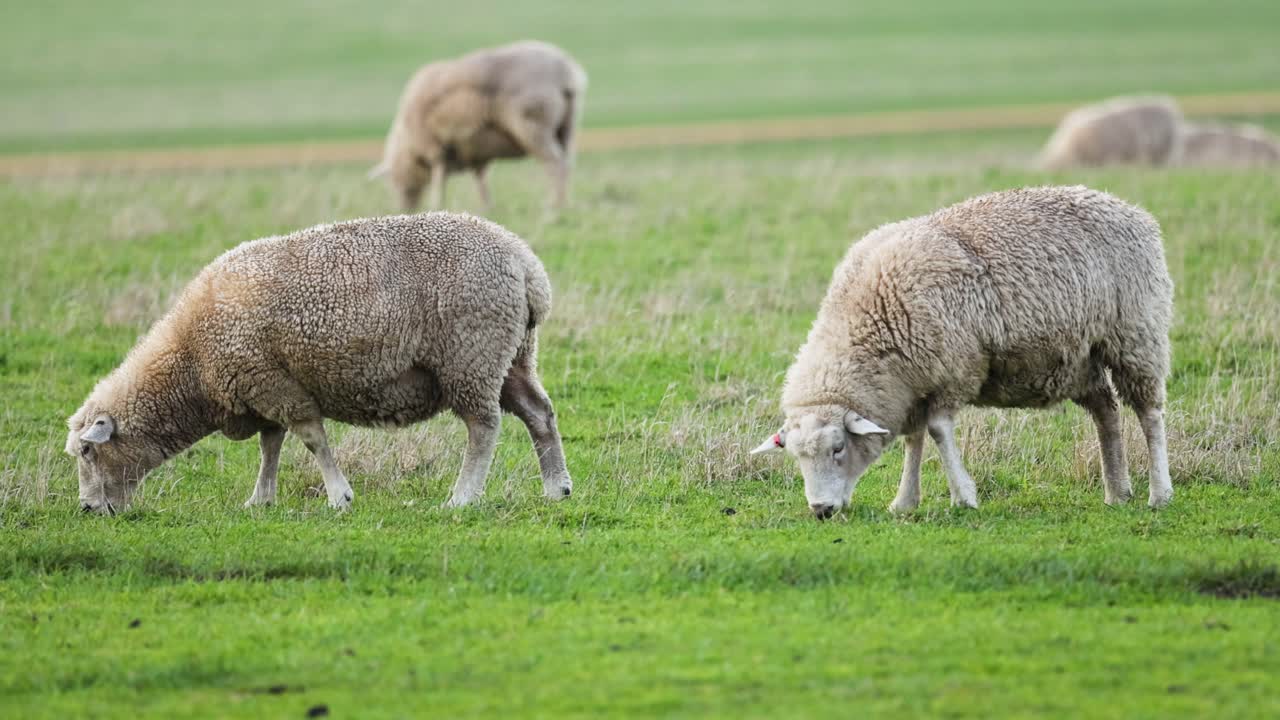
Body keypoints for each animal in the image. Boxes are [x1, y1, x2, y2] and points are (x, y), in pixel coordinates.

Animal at [65, 212, 572, 514]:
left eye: (88, 452)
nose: (87, 510)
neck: (191, 362)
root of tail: (526, 265)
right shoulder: (263, 387)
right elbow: (270, 446)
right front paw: (260, 499)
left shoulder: (274, 384)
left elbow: (311, 440)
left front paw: (338, 496)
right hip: (512, 356)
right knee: (539, 414)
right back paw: (557, 487)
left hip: (471, 355)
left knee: (483, 427)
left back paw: (463, 497)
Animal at [369, 40, 587, 212]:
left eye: (392, 182)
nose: (404, 209)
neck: (406, 146)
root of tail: (565, 70)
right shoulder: (475, 153)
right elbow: (480, 180)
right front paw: (486, 207)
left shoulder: (435, 148)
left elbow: (439, 180)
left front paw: (436, 204)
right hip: (567, 126)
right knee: (567, 164)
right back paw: (565, 203)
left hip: (533, 124)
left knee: (555, 165)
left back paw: (554, 205)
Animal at [752, 186, 1174, 519]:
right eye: (796, 456)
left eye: (838, 448)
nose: (821, 510)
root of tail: (1132, 211)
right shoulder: (912, 384)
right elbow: (914, 439)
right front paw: (905, 501)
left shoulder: (954, 370)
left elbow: (938, 430)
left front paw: (963, 497)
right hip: (1081, 358)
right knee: (1107, 412)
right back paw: (1117, 491)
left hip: (1136, 335)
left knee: (1149, 414)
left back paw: (1159, 492)